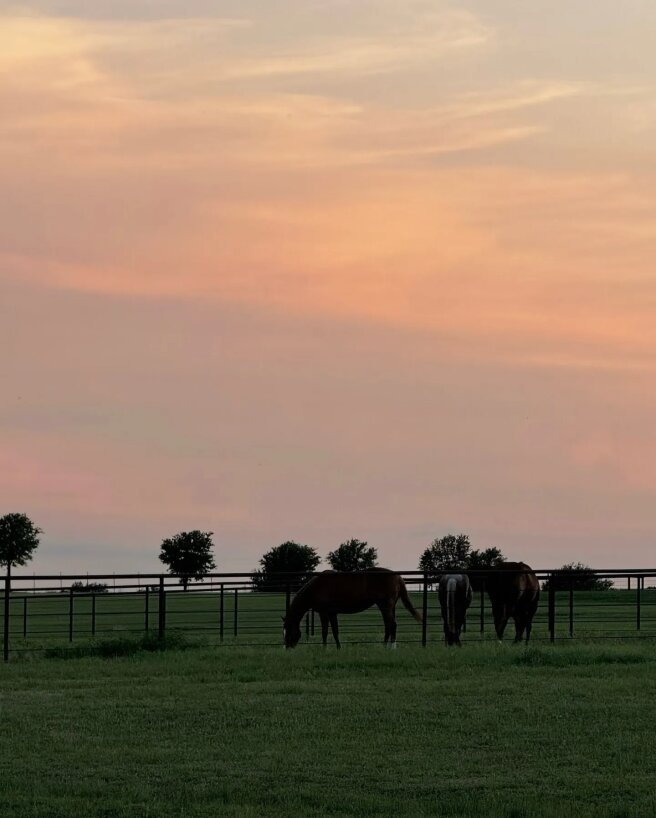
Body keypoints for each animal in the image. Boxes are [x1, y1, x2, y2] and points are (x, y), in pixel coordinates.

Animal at [284, 572, 422, 648]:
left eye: (288, 631)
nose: (287, 648)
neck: (317, 587)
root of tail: (398, 577)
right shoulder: (332, 613)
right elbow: (335, 631)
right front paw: (338, 648)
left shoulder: (324, 613)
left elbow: (324, 632)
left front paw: (324, 649)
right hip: (388, 607)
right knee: (389, 626)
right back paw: (386, 647)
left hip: (385, 607)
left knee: (392, 625)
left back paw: (389, 648)